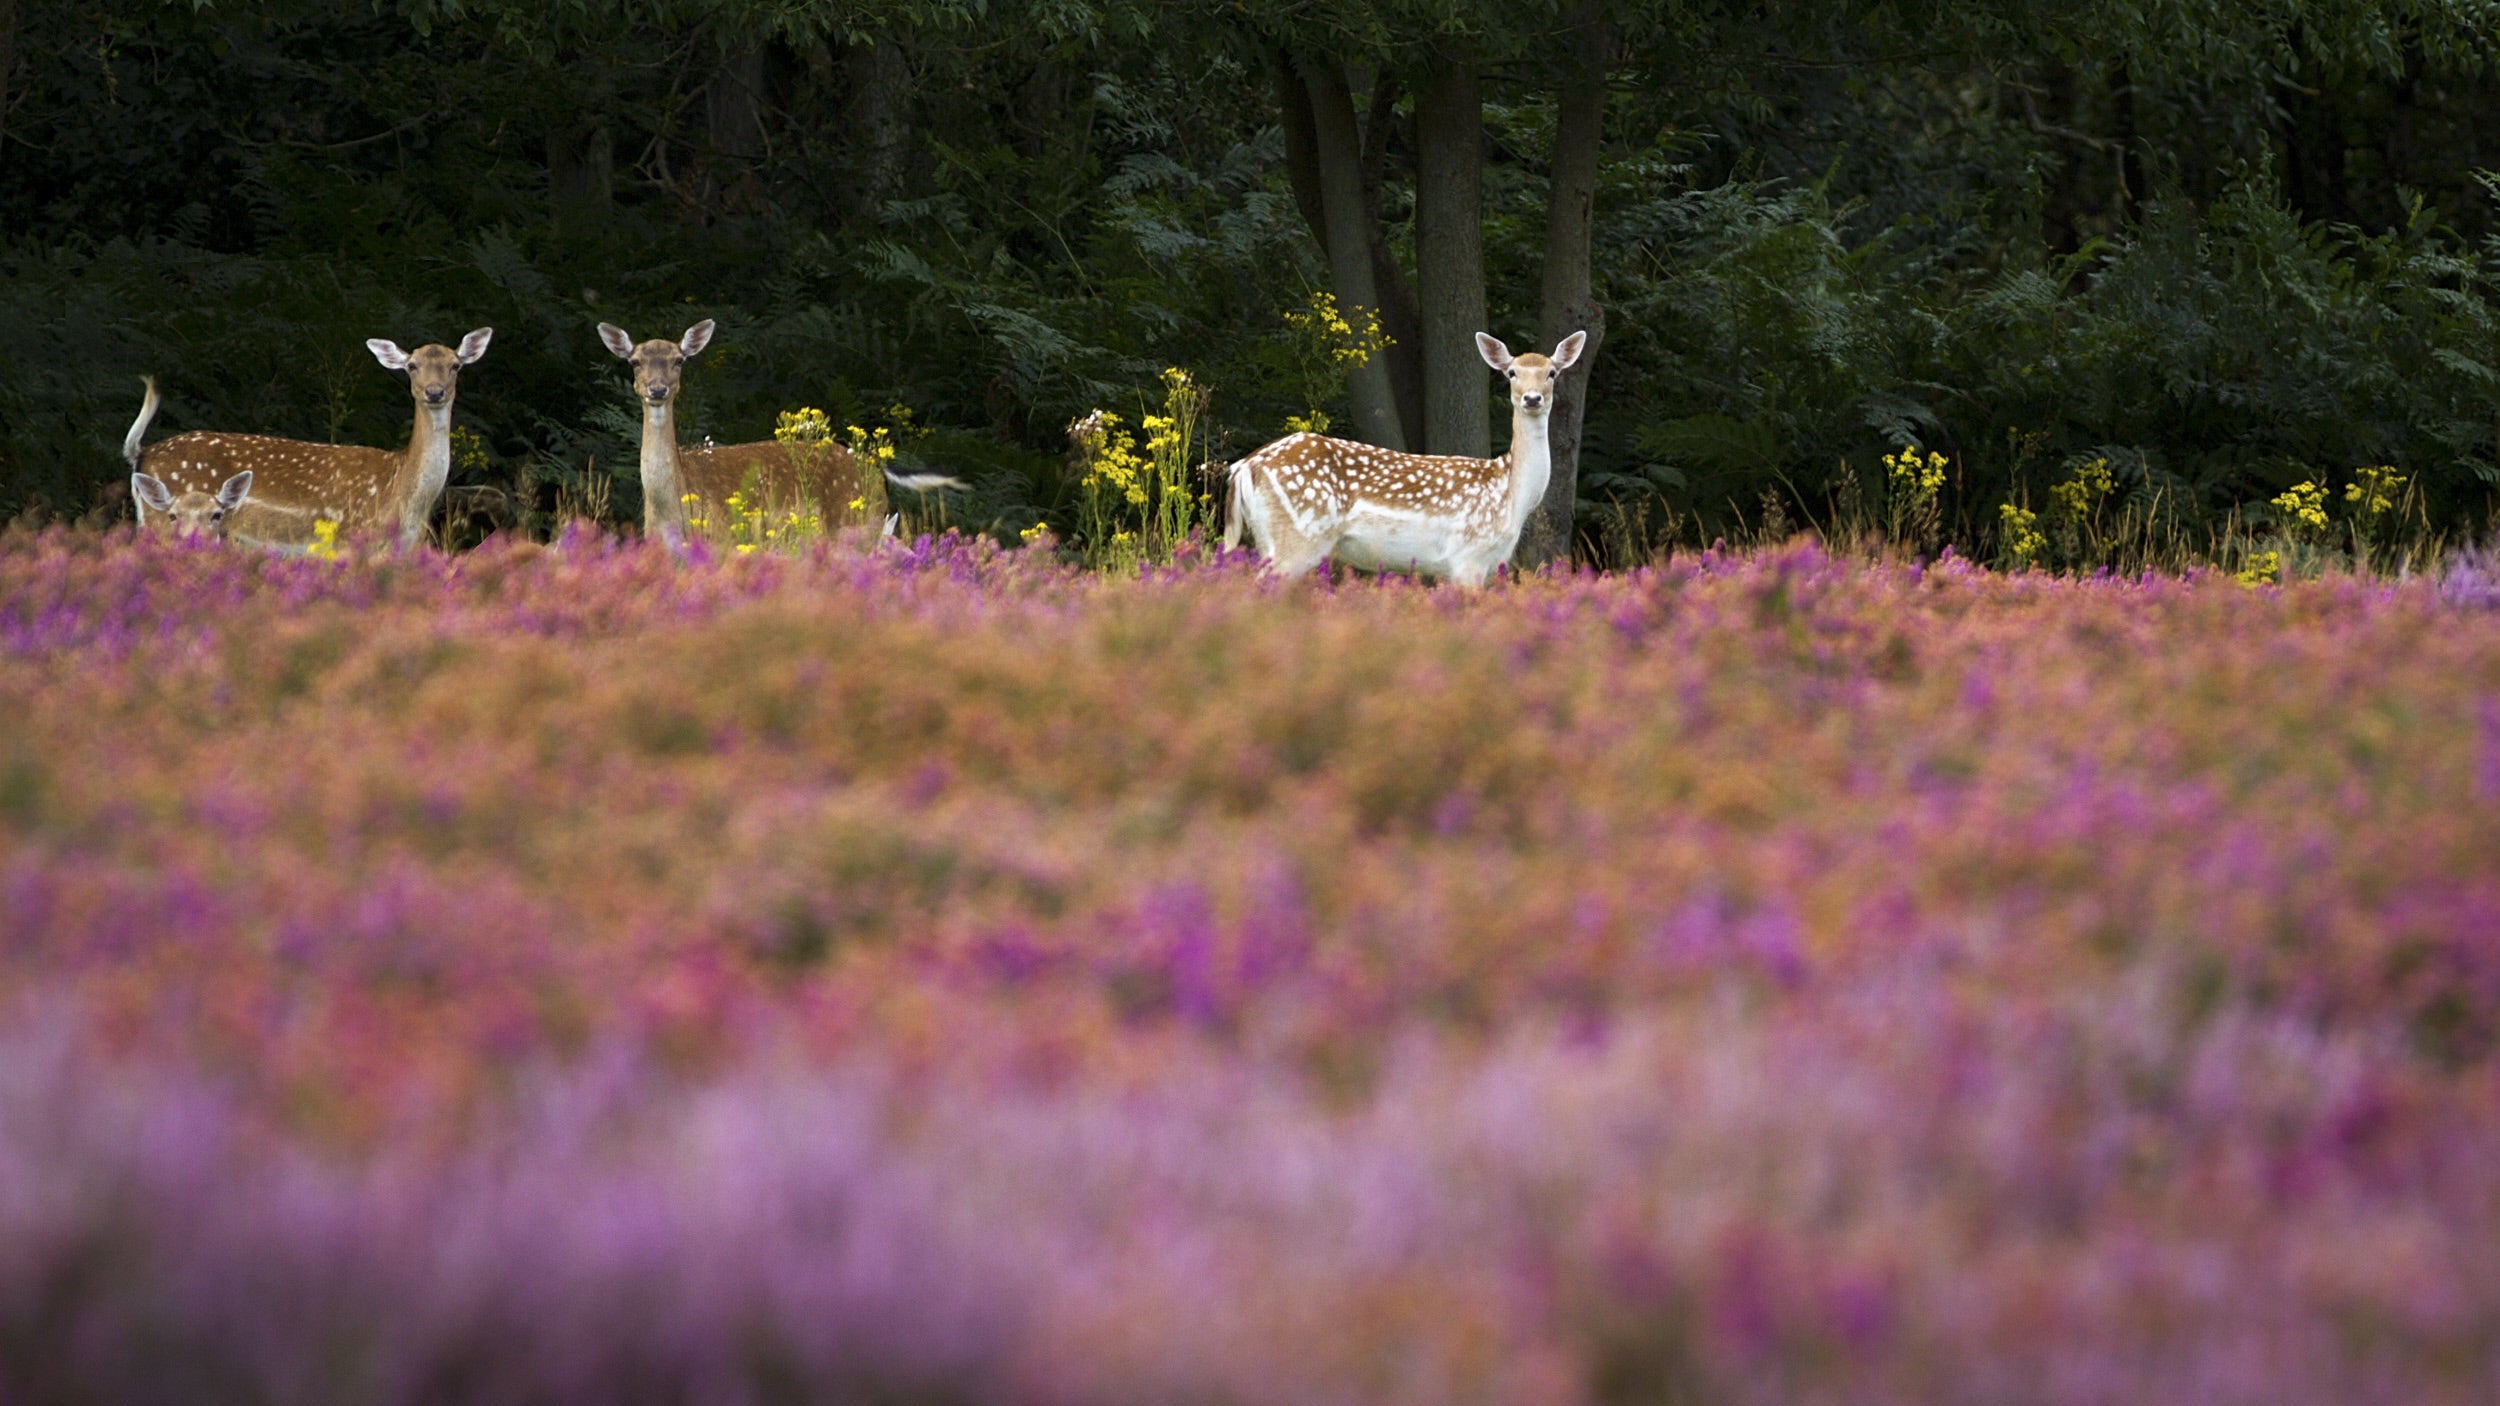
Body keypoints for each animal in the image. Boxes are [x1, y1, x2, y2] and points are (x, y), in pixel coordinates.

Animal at [121, 328, 492, 552]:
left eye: (456, 365)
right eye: (412, 366)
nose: (434, 392)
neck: (401, 496)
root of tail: (142, 452)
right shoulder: (349, 539)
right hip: (163, 521)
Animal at [597, 320, 885, 550]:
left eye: (679, 360)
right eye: (635, 361)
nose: (657, 389)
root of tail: (877, 476)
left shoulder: (721, 538)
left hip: (857, 524)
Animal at [1224, 331, 1587, 588]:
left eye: (1552, 373)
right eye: (1511, 372)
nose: (1532, 398)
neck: (1511, 496)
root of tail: (1245, 467)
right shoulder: (1468, 555)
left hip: (1269, 537)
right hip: (1299, 535)